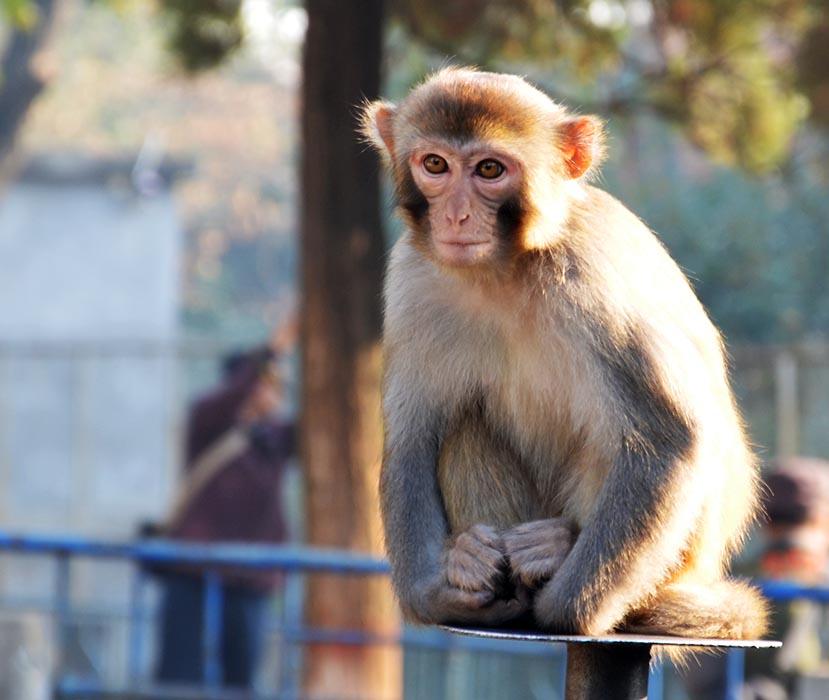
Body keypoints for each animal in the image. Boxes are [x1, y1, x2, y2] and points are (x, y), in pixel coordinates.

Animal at [360, 67, 768, 640]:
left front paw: (566, 608)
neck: (504, 270)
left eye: (489, 169)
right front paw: (438, 593)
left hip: (680, 559)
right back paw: (484, 570)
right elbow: (413, 442)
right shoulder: (412, 279)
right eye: (435, 164)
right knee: (463, 429)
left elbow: (669, 440)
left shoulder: (590, 276)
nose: (457, 216)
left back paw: (555, 555)